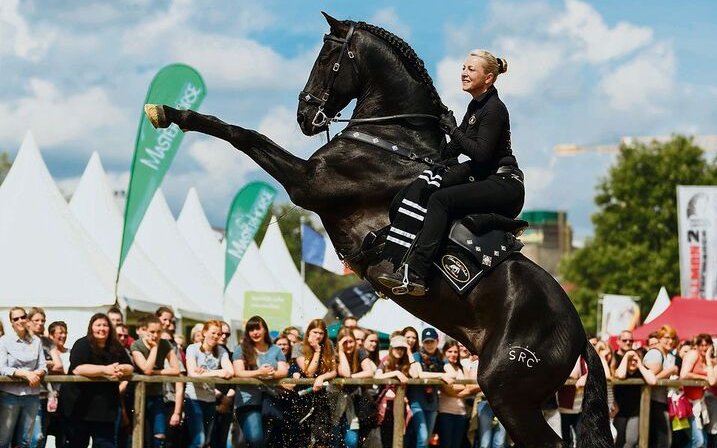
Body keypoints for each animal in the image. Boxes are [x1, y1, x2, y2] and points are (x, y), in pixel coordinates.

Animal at [144, 12, 608, 446]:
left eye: (327, 57)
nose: (304, 115)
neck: (390, 138)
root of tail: (579, 333)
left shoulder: (307, 184)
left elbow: (243, 134)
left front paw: (169, 113)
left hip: (507, 392)